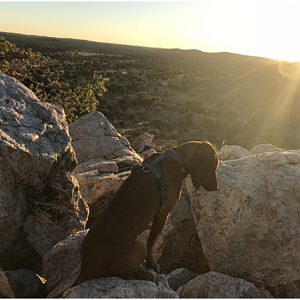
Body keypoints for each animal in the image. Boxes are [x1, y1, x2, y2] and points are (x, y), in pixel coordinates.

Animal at [72, 141, 218, 286]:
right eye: (213, 167)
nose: (216, 188)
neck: (178, 157)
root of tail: (85, 269)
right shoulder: (162, 215)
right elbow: (151, 243)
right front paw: (152, 264)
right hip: (139, 247)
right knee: (127, 271)